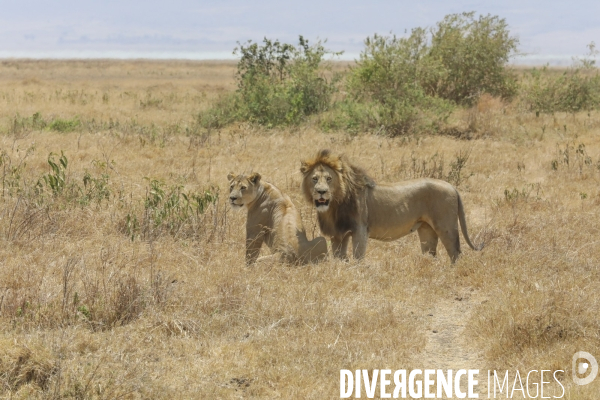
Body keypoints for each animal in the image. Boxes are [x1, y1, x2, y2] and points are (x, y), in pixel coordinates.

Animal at [300, 150, 482, 262]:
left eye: (329, 179)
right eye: (314, 179)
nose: (321, 192)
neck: (334, 206)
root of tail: (452, 186)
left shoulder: (360, 229)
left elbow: (358, 257)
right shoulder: (338, 235)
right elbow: (340, 258)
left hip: (446, 226)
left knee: (455, 252)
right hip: (426, 230)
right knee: (431, 253)